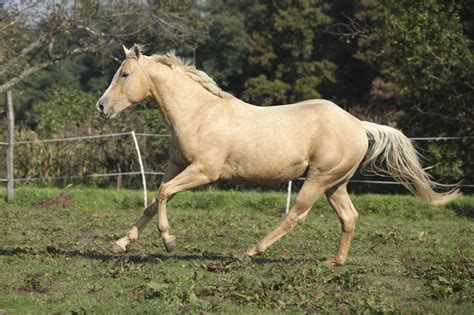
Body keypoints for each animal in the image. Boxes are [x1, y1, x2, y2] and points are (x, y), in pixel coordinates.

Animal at [95, 44, 460, 266]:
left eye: (125, 74)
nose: (101, 107)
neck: (199, 113)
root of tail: (358, 124)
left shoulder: (204, 171)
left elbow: (162, 193)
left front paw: (169, 241)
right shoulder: (177, 165)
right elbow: (153, 200)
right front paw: (119, 244)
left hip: (318, 180)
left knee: (296, 215)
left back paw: (248, 252)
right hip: (335, 185)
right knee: (349, 217)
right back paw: (335, 261)